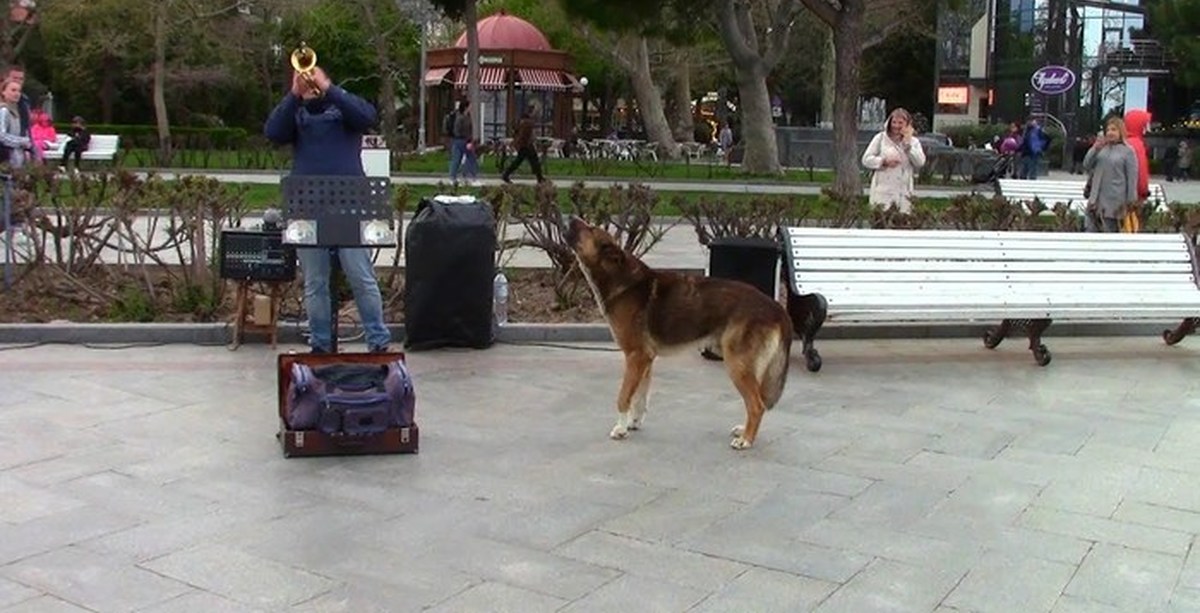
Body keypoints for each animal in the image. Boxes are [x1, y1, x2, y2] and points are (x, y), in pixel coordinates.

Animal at [564, 218, 792, 448]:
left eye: (590, 229)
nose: (572, 217)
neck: (619, 277)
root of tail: (776, 308)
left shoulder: (635, 356)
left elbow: (624, 396)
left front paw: (620, 429)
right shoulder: (645, 360)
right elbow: (639, 397)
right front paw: (632, 423)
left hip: (738, 364)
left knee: (756, 405)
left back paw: (746, 440)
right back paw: (744, 431)